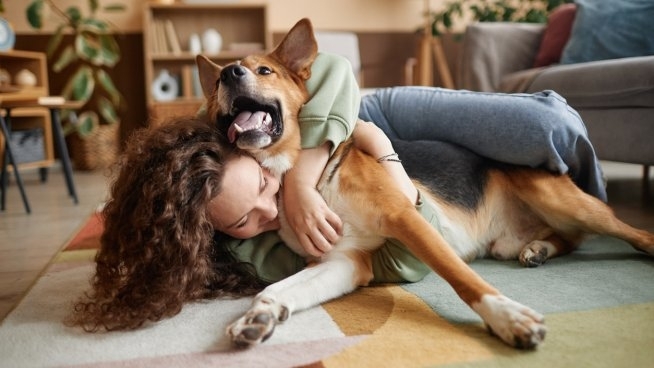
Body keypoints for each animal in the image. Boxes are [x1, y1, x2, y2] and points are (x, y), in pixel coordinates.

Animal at [195, 18, 654, 350]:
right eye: (218, 84)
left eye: (264, 70)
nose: (230, 73)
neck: (301, 178)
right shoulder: (343, 261)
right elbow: (279, 288)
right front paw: (260, 315)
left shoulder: (406, 217)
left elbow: (463, 279)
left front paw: (507, 317)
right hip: (514, 238)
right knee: (568, 239)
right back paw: (539, 249)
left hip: (562, 200)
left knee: (627, 233)